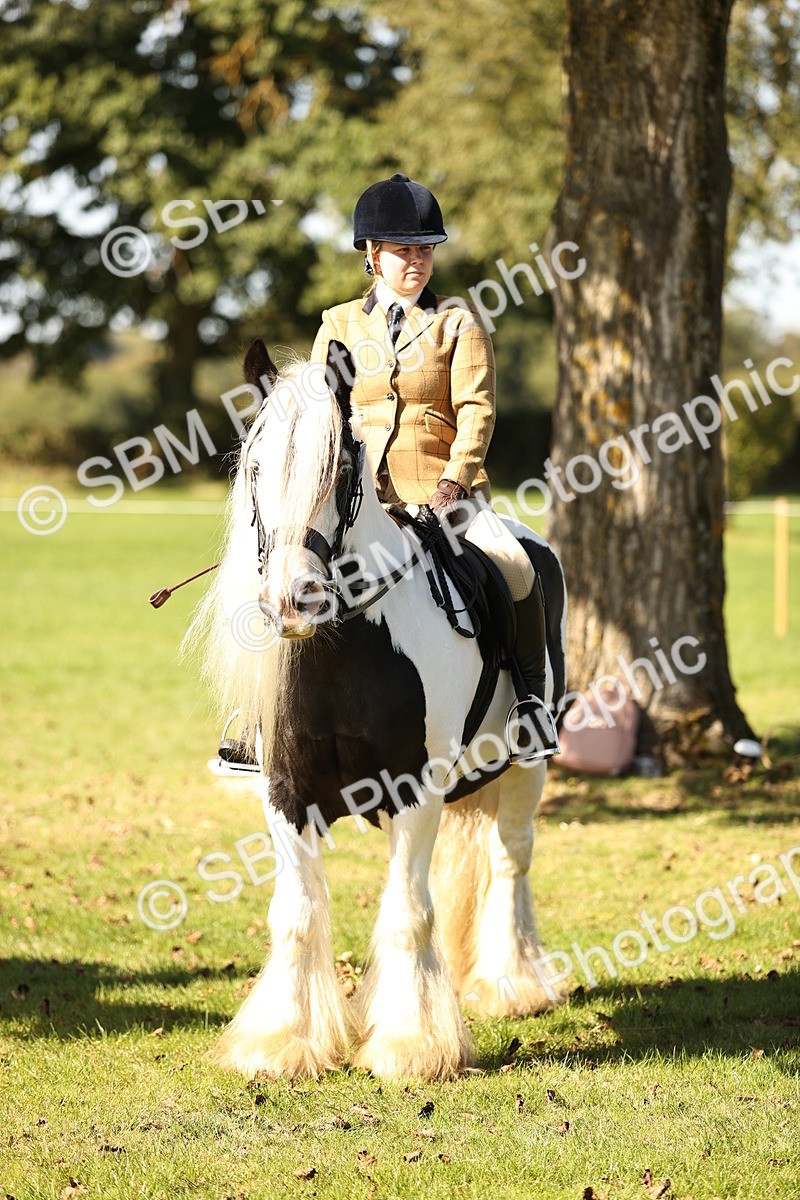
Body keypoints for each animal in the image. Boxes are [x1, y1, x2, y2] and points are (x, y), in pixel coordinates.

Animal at [189, 337, 568, 1080]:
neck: (347, 654)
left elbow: (407, 914)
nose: (293, 601)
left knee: (510, 859)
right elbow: (296, 914)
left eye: (338, 469)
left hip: (527, 766)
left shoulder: (415, 792)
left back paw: (511, 984)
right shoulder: (285, 796)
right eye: (254, 468)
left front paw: (411, 1047)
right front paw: (281, 1043)